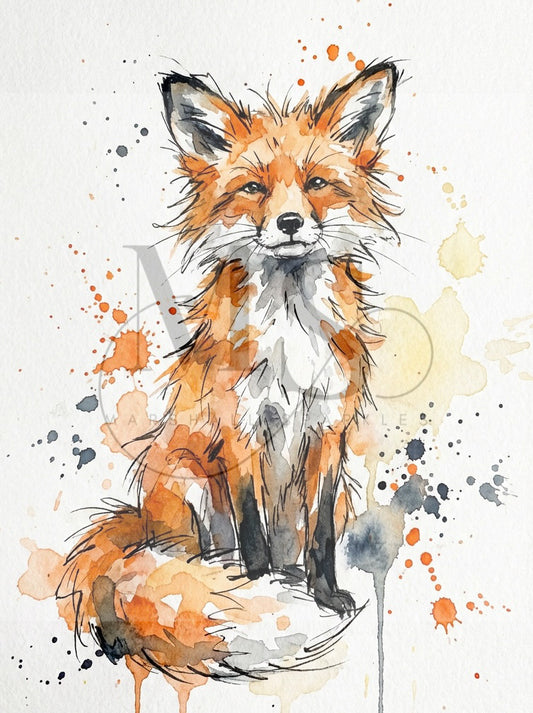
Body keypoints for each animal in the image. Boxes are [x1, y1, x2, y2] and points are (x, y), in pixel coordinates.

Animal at [55, 61, 400, 704]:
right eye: (254, 189)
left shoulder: (327, 432)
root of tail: (140, 518)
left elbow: (318, 536)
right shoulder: (239, 426)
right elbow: (251, 525)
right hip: (190, 481)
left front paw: (324, 594)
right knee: (201, 557)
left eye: (316, 183)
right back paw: (232, 580)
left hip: (341, 492)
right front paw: (254, 591)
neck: (290, 330)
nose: (289, 222)